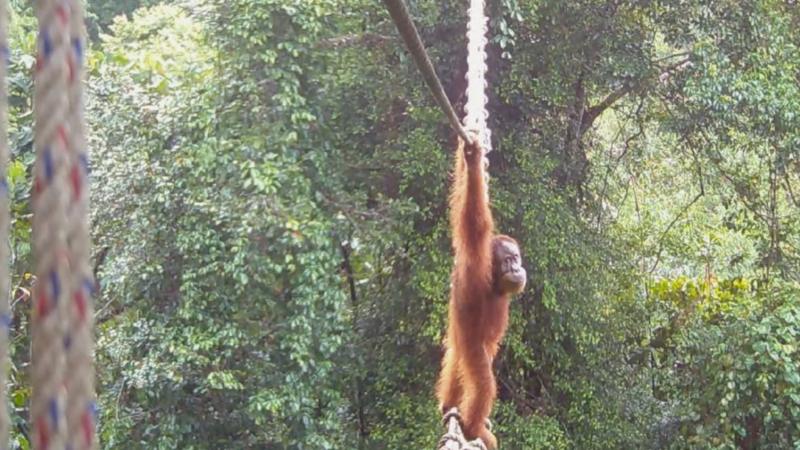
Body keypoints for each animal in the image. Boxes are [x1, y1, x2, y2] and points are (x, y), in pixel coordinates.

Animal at [436, 135, 526, 450]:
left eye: (517, 258)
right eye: (508, 260)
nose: (518, 268)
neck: (494, 282)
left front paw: (468, 158)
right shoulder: (476, 258)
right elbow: (474, 218)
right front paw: (473, 160)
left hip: (459, 345)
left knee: (454, 364)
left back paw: (449, 407)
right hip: (471, 348)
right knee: (483, 383)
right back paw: (473, 427)